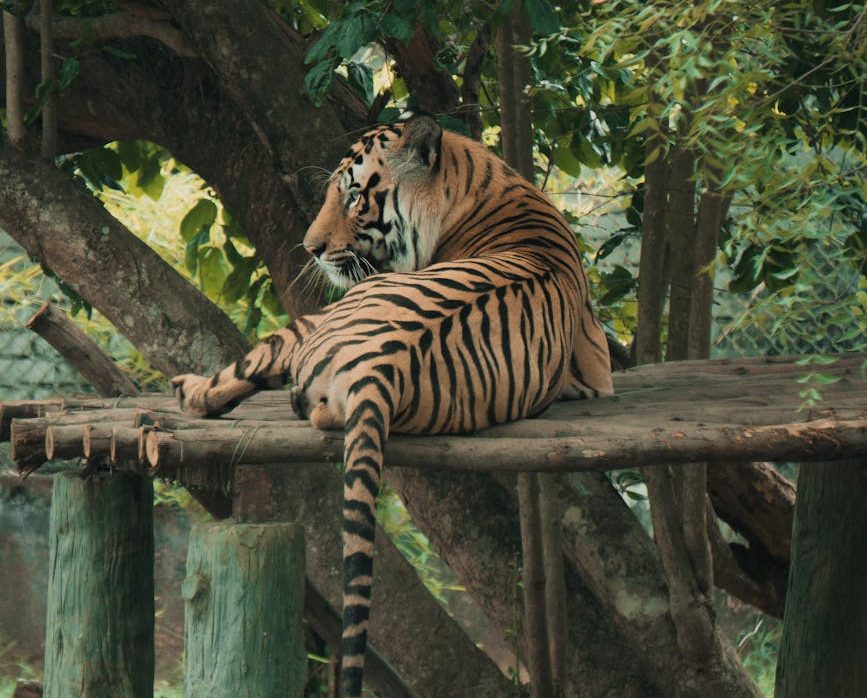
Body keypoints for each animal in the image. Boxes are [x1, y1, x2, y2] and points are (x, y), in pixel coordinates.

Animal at [171, 114, 613, 697]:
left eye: (354, 195)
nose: (309, 248)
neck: (484, 184)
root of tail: (383, 366)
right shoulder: (597, 372)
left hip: (319, 319)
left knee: (248, 367)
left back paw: (187, 390)